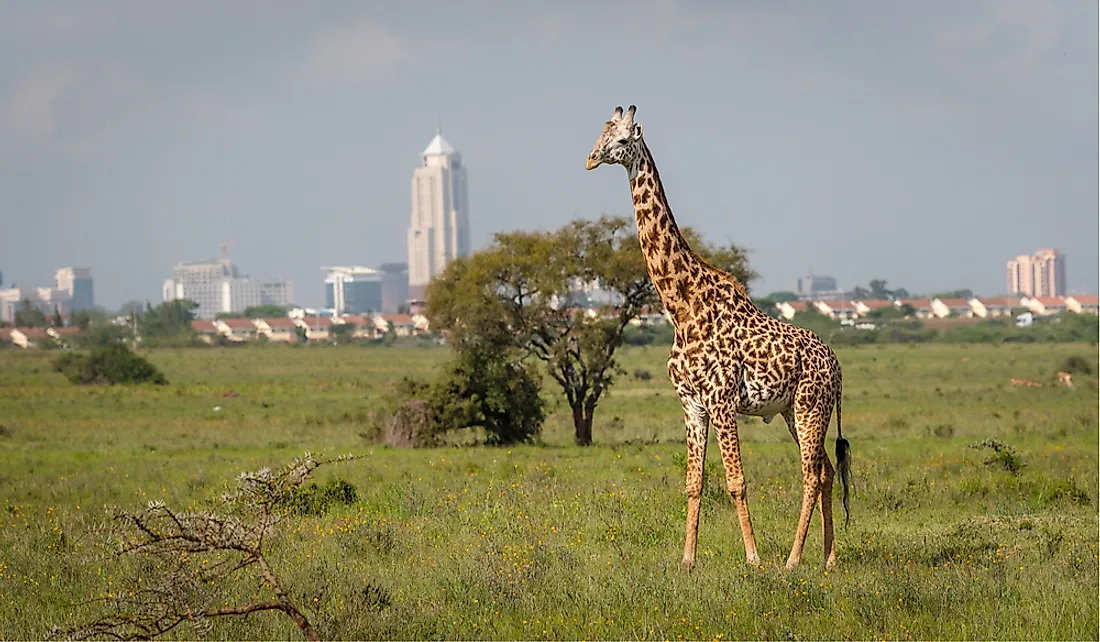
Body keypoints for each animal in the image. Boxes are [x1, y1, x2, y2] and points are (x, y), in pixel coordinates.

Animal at [585, 105, 849, 571]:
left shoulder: (722, 400)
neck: (681, 306)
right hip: (792, 411)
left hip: (810, 407)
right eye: (601, 133)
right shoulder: (691, 403)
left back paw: (792, 560)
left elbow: (736, 481)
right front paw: (687, 560)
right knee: (827, 471)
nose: (590, 159)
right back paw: (828, 559)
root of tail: (836, 366)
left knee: (811, 474)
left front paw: (753, 558)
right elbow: (694, 482)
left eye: (622, 140)